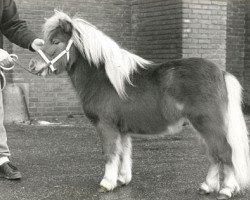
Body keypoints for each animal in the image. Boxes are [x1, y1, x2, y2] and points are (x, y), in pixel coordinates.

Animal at [29, 10, 250, 198]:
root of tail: (221, 73)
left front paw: (107, 183)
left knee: (225, 152)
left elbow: (110, 153)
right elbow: (124, 152)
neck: (104, 78)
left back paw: (226, 189)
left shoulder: (106, 125)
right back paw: (207, 186)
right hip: (202, 127)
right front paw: (122, 179)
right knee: (214, 155)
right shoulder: (122, 129)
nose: (32, 66)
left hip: (209, 125)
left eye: (56, 41)